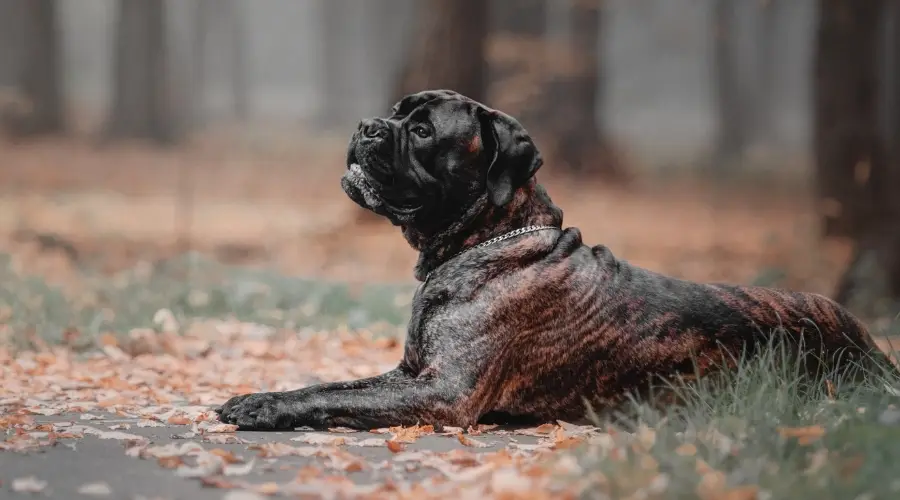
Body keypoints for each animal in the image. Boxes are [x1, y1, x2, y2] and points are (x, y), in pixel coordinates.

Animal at [216, 89, 892, 430]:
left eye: (424, 130)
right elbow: (333, 385)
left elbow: (332, 400)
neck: (490, 240)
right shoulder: (409, 374)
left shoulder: (443, 393)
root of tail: (871, 345)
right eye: (396, 112)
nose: (367, 125)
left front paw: (262, 407)